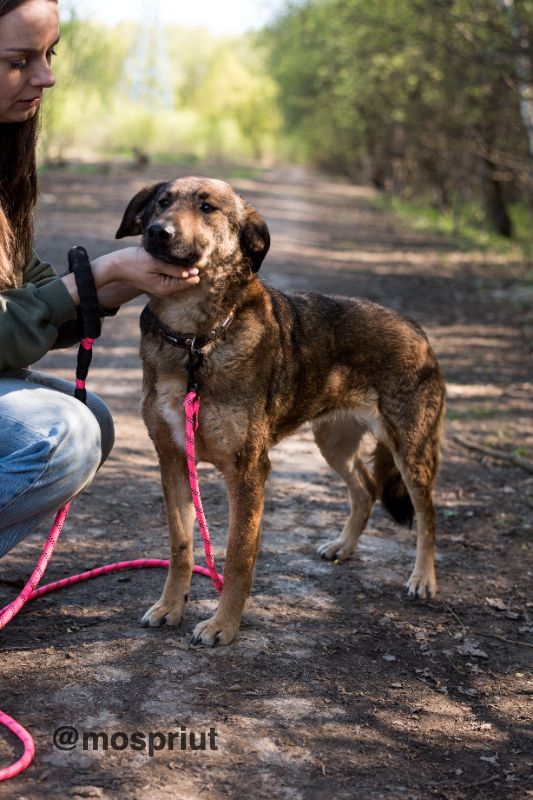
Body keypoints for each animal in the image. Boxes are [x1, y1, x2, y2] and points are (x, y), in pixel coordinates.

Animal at [115, 175, 444, 644]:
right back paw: (344, 546)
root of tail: (418, 331)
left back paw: (423, 579)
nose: (158, 232)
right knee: (365, 488)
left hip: (410, 451)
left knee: (427, 513)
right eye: (161, 202)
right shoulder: (174, 459)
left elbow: (238, 556)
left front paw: (224, 625)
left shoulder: (249, 471)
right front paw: (169, 607)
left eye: (208, 208)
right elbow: (181, 547)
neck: (195, 342)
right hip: (333, 443)